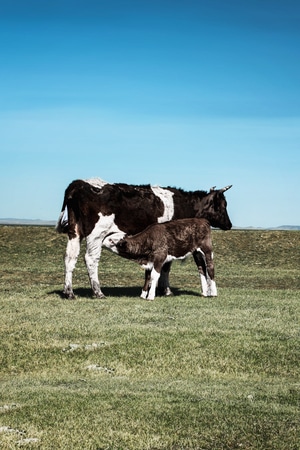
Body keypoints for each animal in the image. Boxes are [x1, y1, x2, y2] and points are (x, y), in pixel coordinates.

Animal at [56, 178, 232, 298]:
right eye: (223, 205)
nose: (230, 225)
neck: (183, 205)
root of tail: (79, 184)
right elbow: (166, 266)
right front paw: (166, 290)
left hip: (74, 232)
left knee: (69, 258)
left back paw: (69, 292)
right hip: (96, 235)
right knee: (91, 259)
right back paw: (98, 292)